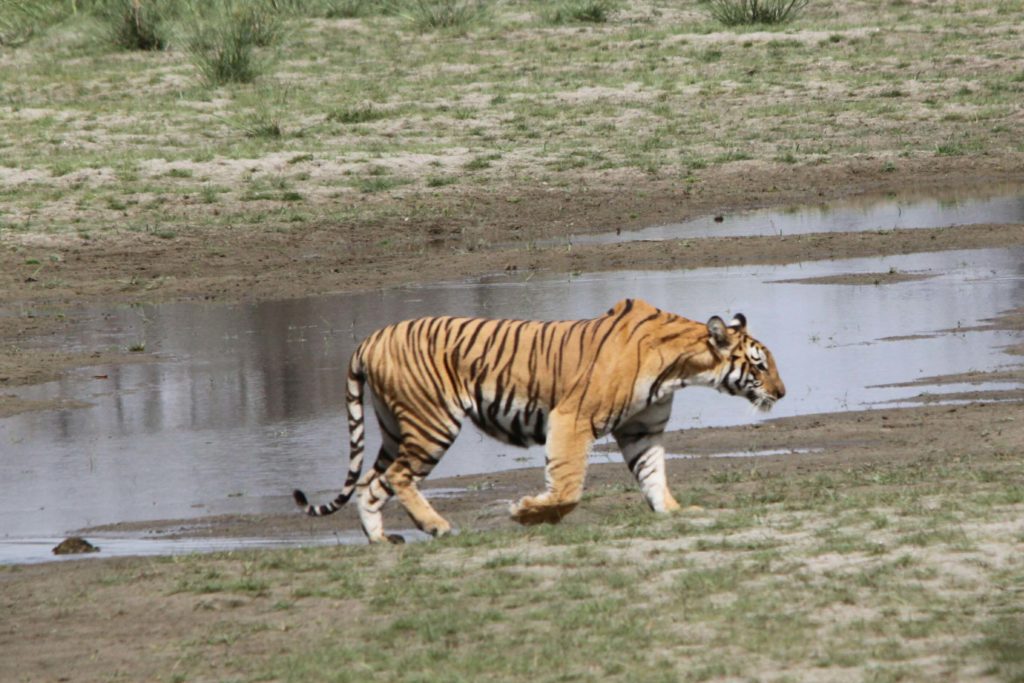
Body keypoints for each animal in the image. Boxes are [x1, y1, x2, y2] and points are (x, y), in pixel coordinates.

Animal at [292, 299, 786, 544]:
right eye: (759, 365)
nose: (782, 393)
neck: (681, 367)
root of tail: (368, 339)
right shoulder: (573, 418)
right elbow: (568, 486)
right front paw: (527, 513)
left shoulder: (641, 429)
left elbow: (653, 473)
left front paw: (673, 510)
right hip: (432, 422)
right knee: (396, 477)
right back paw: (437, 527)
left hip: (395, 429)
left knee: (368, 483)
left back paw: (382, 541)